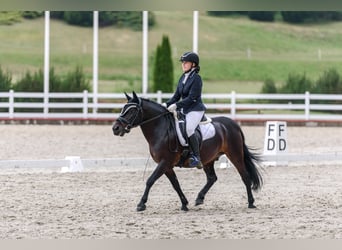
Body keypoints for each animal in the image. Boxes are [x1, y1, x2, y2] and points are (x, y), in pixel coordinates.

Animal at [112, 92, 262, 211]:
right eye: (123, 108)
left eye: (132, 111)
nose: (115, 128)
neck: (160, 130)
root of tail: (233, 124)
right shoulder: (167, 166)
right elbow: (175, 184)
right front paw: (184, 204)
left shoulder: (165, 162)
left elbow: (150, 180)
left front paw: (141, 204)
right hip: (208, 159)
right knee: (212, 178)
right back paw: (199, 198)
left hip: (235, 155)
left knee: (245, 176)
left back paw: (251, 203)